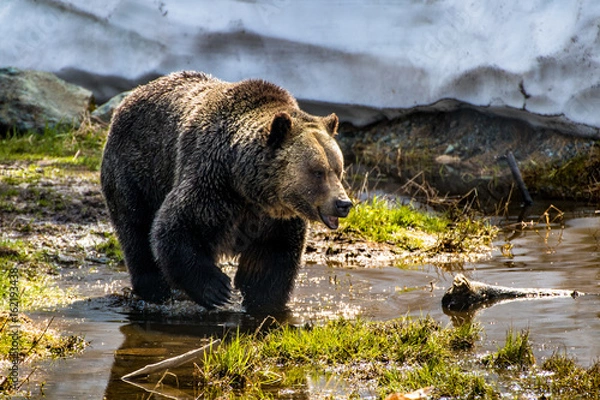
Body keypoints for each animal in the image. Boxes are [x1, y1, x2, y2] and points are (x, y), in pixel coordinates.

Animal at [101, 72, 354, 316]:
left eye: (338, 168)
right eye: (318, 171)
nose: (343, 203)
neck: (249, 188)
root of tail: (134, 93)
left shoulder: (277, 219)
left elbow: (273, 259)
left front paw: (262, 302)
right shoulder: (212, 182)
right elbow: (176, 227)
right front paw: (218, 289)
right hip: (137, 171)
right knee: (136, 227)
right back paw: (154, 289)